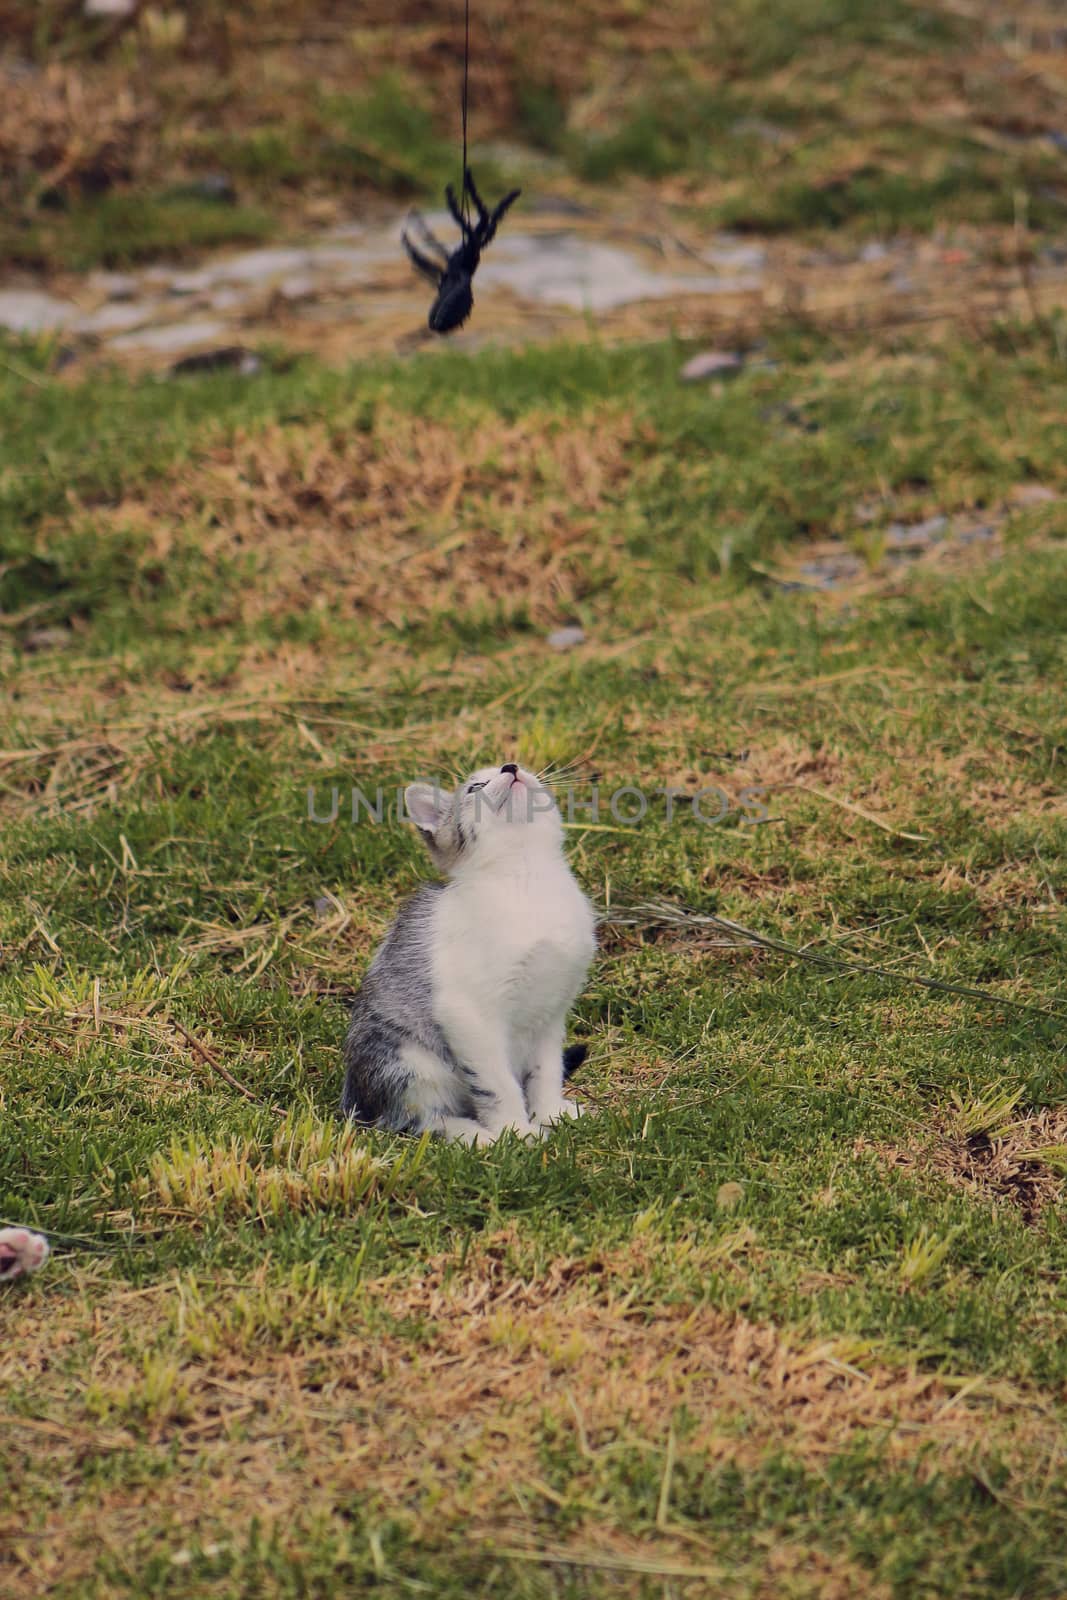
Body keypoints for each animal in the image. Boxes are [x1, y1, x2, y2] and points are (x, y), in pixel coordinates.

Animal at [340, 758, 591, 1145]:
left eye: (518, 764)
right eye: (475, 787)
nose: (511, 766)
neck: (527, 877)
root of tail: (355, 1100)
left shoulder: (551, 1012)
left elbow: (546, 1070)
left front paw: (551, 1114)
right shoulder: (467, 1014)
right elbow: (497, 1085)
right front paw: (515, 1133)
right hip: (407, 1063)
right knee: (416, 1121)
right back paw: (475, 1136)